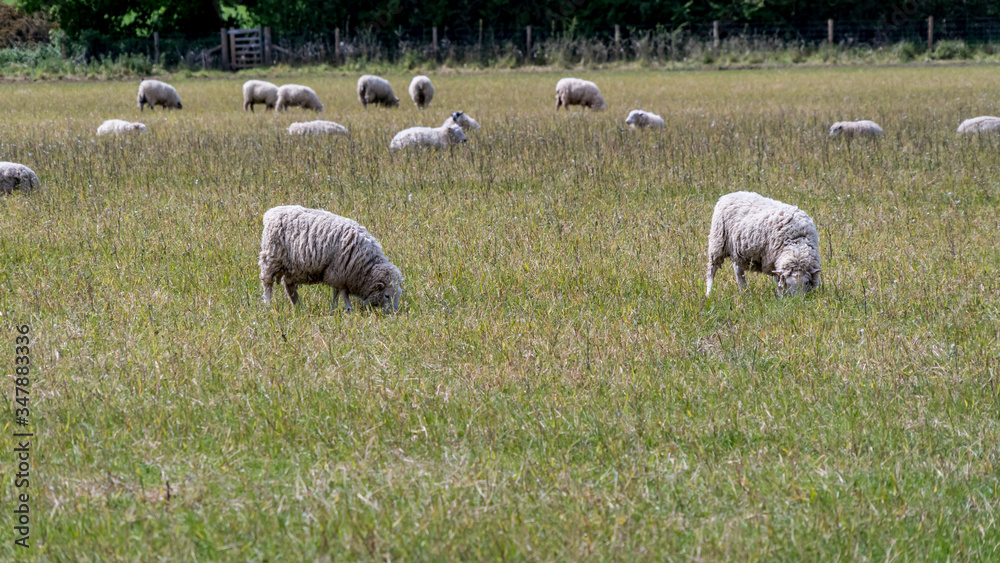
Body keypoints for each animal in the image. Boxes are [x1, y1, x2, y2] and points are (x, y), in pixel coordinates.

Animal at [259, 205, 403, 313]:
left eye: (398, 294)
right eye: (387, 295)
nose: (394, 313)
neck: (366, 269)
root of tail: (270, 213)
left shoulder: (338, 275)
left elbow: (336, 293)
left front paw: (334, 309)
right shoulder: (339, 273)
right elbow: (342, 293)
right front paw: (347, 309)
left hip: (290, 267)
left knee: (289, 287)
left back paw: (299, 308)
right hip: (271, 259)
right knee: (267, 284)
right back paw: (268, 306)